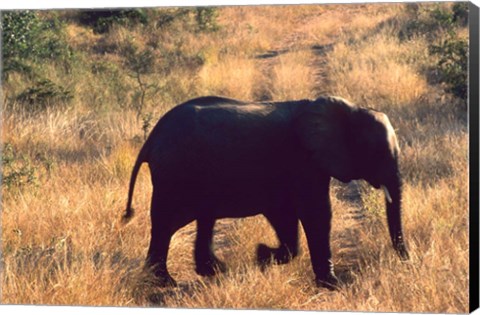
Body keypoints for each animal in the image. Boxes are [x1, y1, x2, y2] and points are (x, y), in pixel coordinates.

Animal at [121, 95, 408, 290]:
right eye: (376, 152)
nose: (407, 261)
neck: (350, 109)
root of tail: (152, 137)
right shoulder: (303, 160)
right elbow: (316, 212)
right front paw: (331, 285)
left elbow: (287, 215)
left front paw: (262, 256)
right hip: (175, 175)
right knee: (165, 223)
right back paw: (164, 282)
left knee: (198, 219)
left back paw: (209, 272)